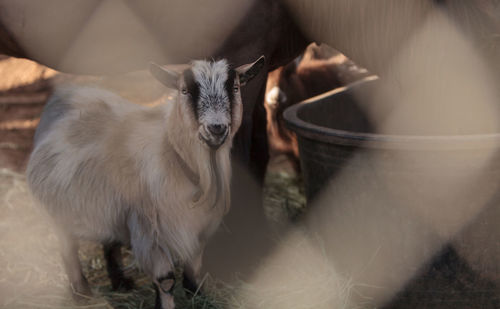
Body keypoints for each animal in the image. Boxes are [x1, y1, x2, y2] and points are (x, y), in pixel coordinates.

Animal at [24, 56, 266, 308]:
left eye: (235, 88)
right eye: (184, 90)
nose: (216, 128)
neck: (174, 155)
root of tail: (68, 93)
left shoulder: (199, 226)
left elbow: (194, 267)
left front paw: (197, 296)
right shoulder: (149, 230)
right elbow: (166, 279)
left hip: (109, 207)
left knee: (109, 242)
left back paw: (120, 283)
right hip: (58, 212)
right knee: (68, 250)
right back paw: (82, 294)